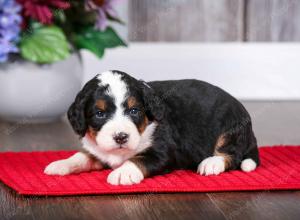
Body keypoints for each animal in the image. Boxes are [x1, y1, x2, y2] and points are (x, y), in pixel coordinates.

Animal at [44, 69, 260, 185]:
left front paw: (123, 173)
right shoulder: (99, 151)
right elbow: (82, 156)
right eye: (100, 114)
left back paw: (212, 163)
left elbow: (140, 159)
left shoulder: (164, 153)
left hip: (230, 128)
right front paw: (61, 164)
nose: (121, 137)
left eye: (134, 111)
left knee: (232, 155)